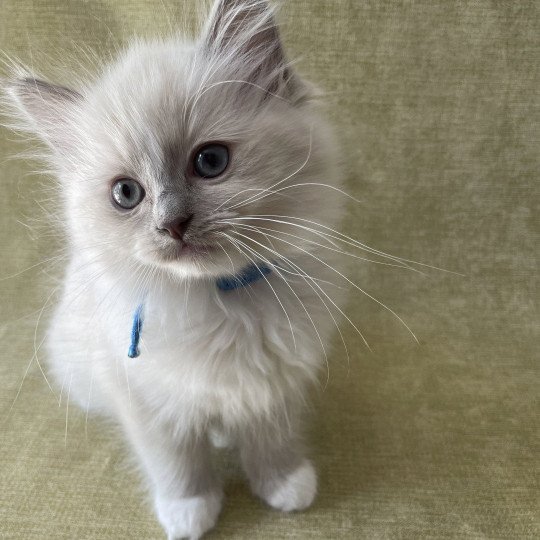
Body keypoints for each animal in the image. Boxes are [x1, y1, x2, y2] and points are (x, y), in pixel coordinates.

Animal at [2, 2, 348, 536]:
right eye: (127, 194)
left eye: (210, 161)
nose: (172, 224)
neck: (220, 299)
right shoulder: (145, 400)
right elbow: (176, 463)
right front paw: (189, 512)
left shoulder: (277, 381)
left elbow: (273, 440)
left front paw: (285, 485)